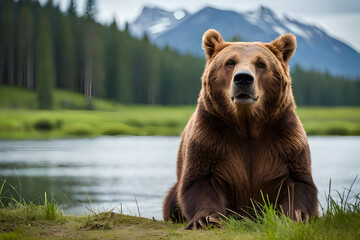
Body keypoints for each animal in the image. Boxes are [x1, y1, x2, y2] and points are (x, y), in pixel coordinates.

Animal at [163, 29, 318, 230]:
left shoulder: (284, 139)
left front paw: (296, 216)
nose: (243, 78)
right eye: (230, 62)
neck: (247, 125)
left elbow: (298, 182)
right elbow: (199, 181)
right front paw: (205, 219)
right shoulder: (210, 137)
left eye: (261, 63)